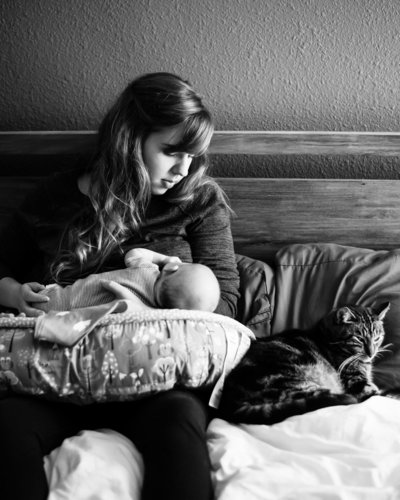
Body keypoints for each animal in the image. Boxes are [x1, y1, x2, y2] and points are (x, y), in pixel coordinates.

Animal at [219, 302, 390, 424]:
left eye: (377, 338)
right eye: (359, 339)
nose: (371, 353)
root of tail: (231, 404)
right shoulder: (357, 383)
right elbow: (377, 392)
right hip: (302, 385)